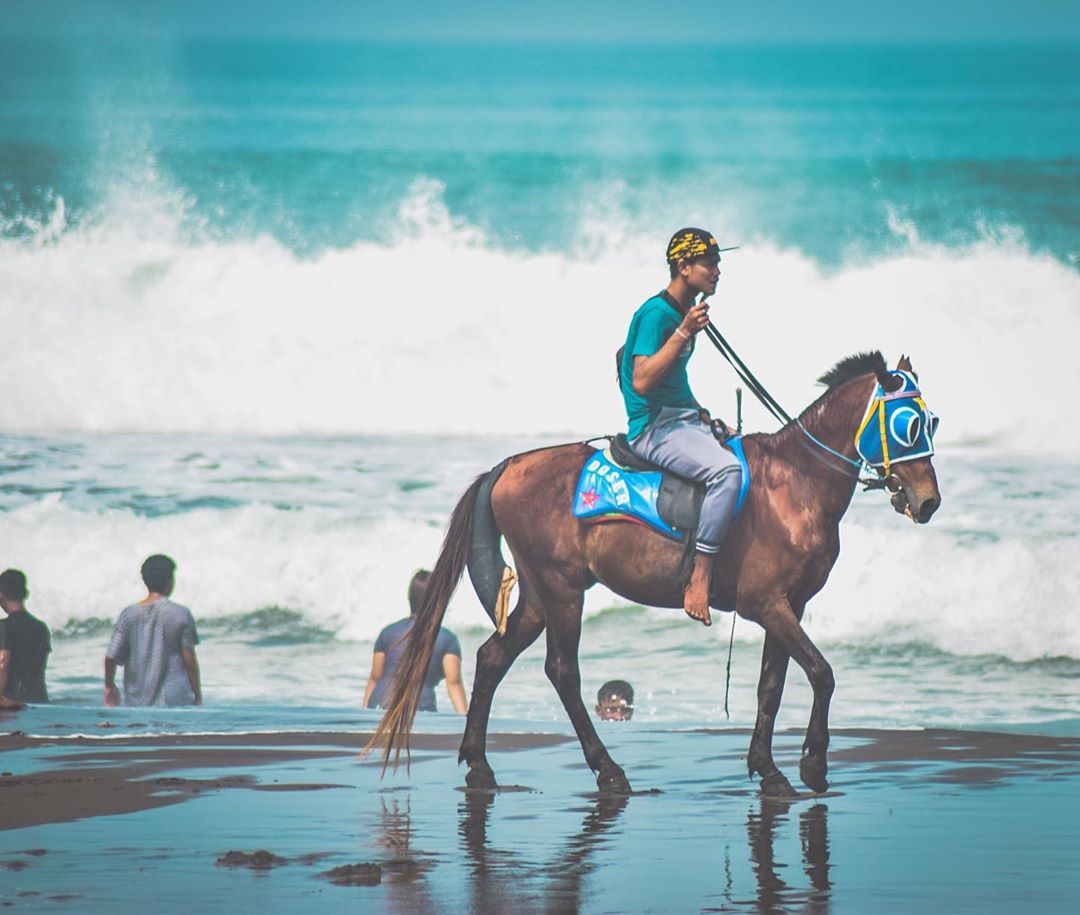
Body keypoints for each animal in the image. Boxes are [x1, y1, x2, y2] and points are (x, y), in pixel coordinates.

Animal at [371, 354, 937, 799]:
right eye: (908, 425)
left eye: (933, 422)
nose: (929, 501)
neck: (795, 483)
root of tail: (510, 465)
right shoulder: (768, 604)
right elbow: (822, 672)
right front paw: (813, 763)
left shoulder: (788, 604)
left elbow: (771, 688)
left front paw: (768, 769)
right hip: (562, 590)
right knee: (562, 671)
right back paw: (608, 771)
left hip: (537, 593)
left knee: (492, 658)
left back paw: (481, 767)